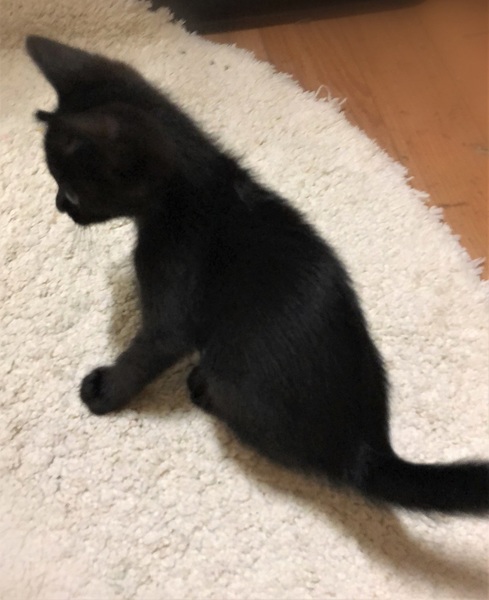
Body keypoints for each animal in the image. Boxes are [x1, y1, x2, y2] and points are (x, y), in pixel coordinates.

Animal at [26, 35, 488, 515]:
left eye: (71, 190)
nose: (58, 206)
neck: (196, 191)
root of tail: (364, 448)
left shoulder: (174, 298)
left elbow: (146, 353)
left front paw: (106, 393)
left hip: (233, 374)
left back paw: (202, 388)